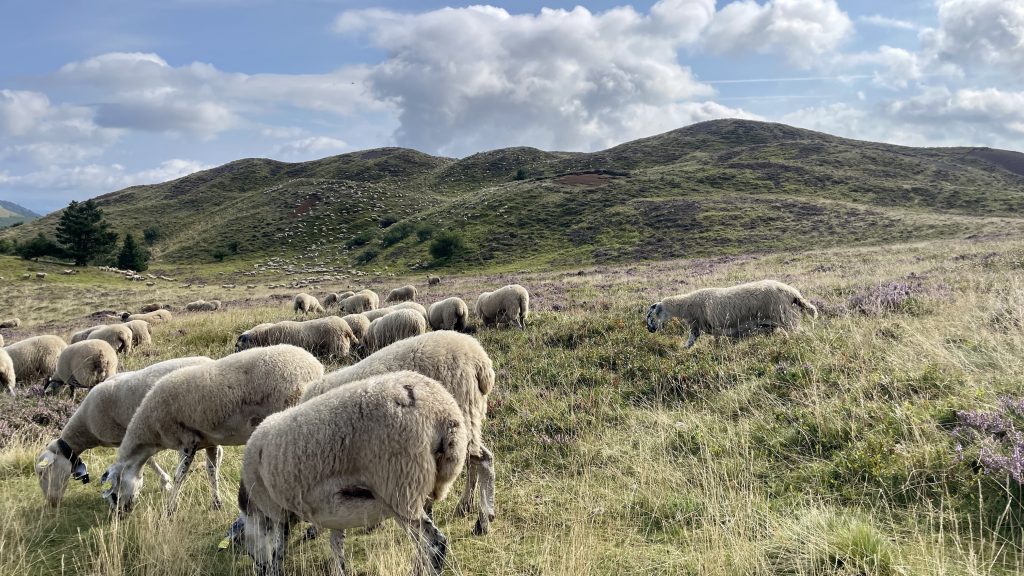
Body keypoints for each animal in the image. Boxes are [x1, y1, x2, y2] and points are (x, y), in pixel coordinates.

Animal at [34, 357, 215, 507]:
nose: (52, 502)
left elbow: (149, 461)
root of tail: (209, 360)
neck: (85, 427)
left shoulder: (125, 437)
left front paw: (166, 483)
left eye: (43, 473)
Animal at [99, 345, 324, 514]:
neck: (150, 431)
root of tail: (315, 365)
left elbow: (179, 476)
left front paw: (169, 510)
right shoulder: (209, 442)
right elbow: (211, 471)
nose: (120, 515)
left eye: (114, 495)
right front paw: (216, 503)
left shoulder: (187, 441)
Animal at [227, 371, 467, 576]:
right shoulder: (333, 510)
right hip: (413, 489)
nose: (259, 569)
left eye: (245, 546)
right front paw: (339, 567)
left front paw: (275, 569)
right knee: (422, 544)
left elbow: (279, 549)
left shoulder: (278, 510)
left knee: (435, 543)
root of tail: (443, 413)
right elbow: (336, 544)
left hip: (400, 487)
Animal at [302, 331, 497, 535]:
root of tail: (481, 362)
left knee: (481, 459)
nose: (310, 532)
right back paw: (466, 506)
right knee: (476, 460)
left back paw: (482, 521)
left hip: (460, 417)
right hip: (467, 422)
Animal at [646, 279, 818, 349]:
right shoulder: (699, 326)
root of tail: (793, 293)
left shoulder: (703, 324)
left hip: (785, 316)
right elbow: (693, 341)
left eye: (650, 316)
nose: (649, 330)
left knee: (801, 333)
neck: (687, 305)